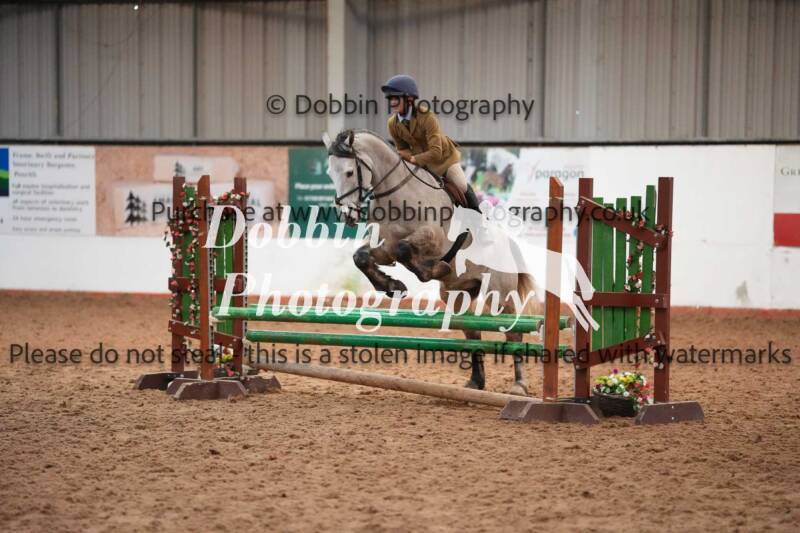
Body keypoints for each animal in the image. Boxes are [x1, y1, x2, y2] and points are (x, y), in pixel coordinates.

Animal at [323, 129, 537, 396]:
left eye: (350, 172)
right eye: (330, 173)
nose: (347, 215)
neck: (397, 195)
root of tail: (509, 244)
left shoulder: (432, 238)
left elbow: (406, 250)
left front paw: (432, 270)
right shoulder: (385, 249)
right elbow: (363, 257)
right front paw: (392, 286)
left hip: (499, 294)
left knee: (514, 332)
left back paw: (519, 385)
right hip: (457, 295)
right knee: (472, 331)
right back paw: (475, 382)